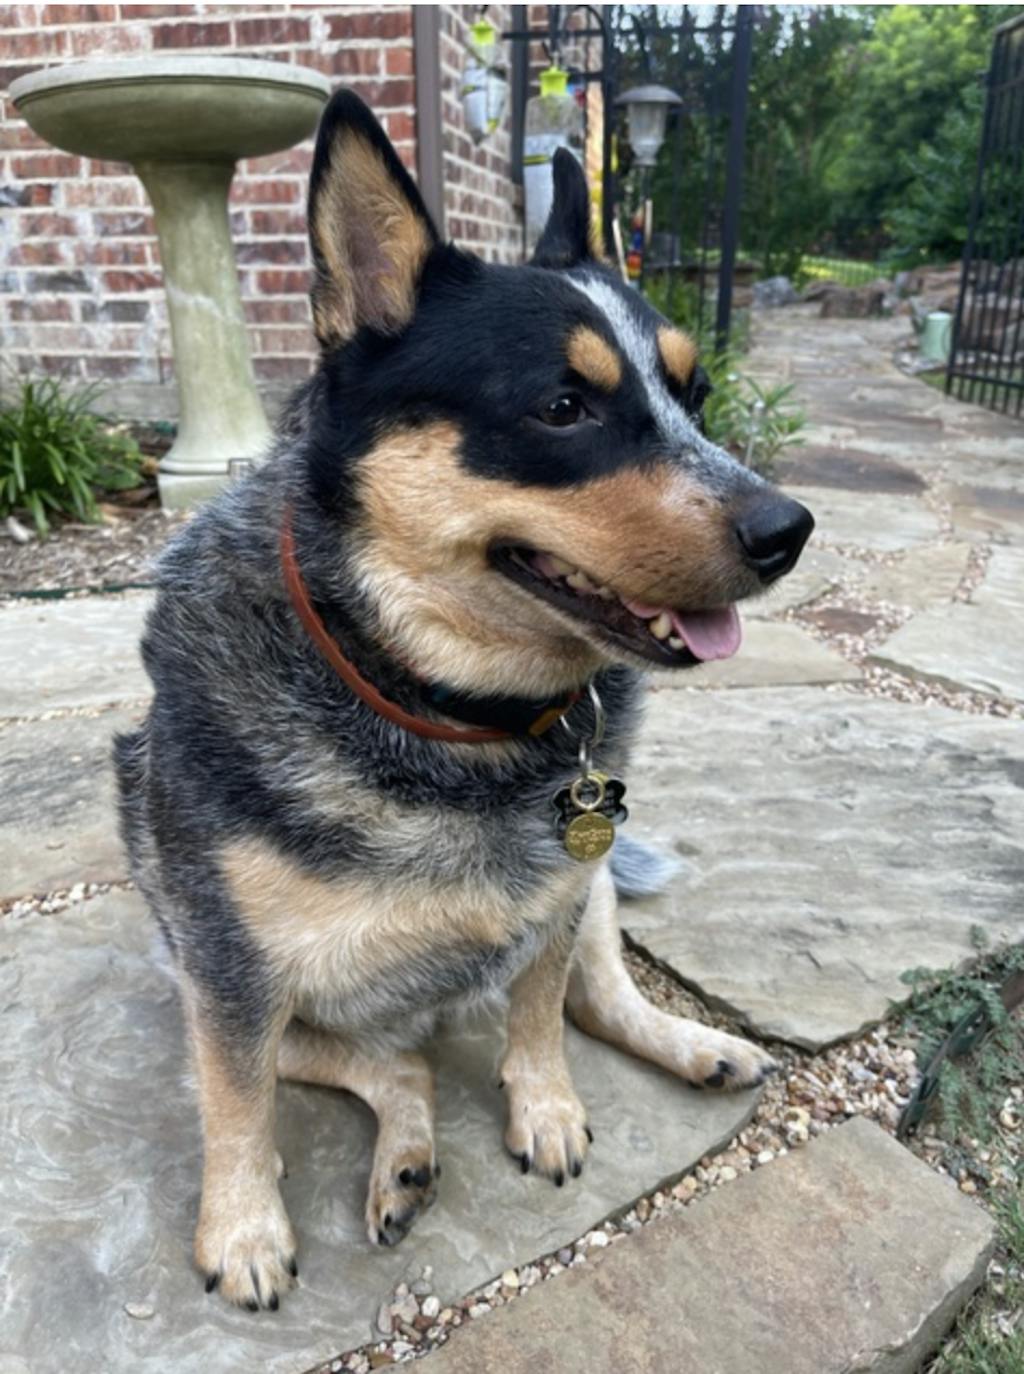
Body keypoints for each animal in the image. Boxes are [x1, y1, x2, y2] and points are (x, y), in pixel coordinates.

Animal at [115, 88, 813, 1311]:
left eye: (694, 394)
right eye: (564, 405)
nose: (789, 530)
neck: (439, 711)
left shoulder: (557, 896)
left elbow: (540, 1015)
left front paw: (548, 1111)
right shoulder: (226, 972)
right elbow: (238, 1103)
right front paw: (242, 1230)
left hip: (593, 897)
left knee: (591, 998)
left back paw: (694, 1045)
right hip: (221, 986)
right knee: (391, 1063)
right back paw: (401, 1157)